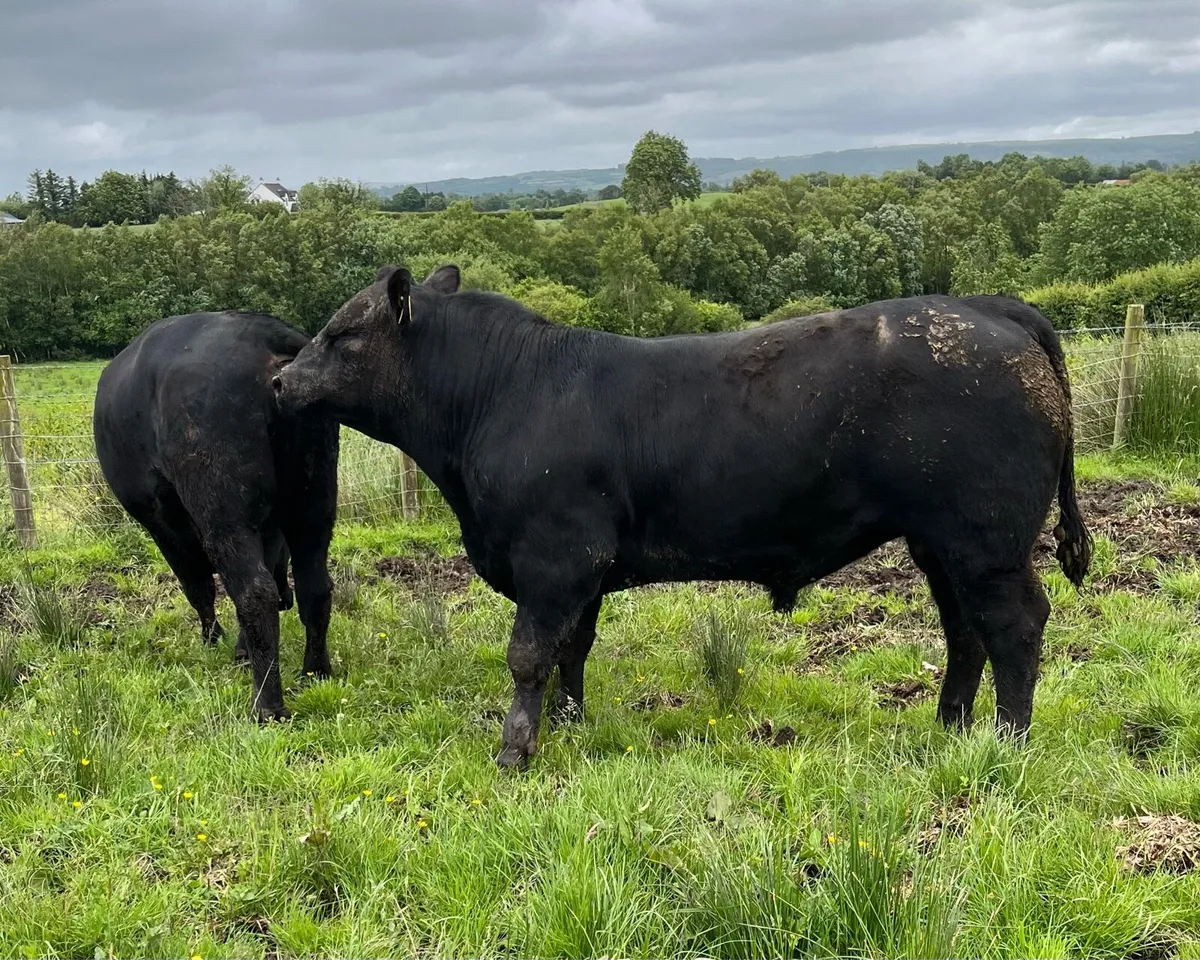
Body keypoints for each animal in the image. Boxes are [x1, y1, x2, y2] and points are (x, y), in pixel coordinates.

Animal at [93, 311, 339, 721]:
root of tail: (265, 336)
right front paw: (239, 647)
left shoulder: (162, 522)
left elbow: (197, 585)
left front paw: (213, 639)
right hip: (314, 501)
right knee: (314, 586)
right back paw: (315, 672)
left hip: (224, 513)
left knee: (254, 591)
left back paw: (267, 705)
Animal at [274, 264, 1092, 769]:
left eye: (342, 334)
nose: (279, 381)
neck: (508, 391)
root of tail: (989, 306)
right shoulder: (580, 572)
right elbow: (572, 650)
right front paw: (569, 725)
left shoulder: (555, 559)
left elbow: (530, 655)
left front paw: (515, 750)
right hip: (940, 543)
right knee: (965, 631)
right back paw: (951, 726)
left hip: (987, 542)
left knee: (1015, 628)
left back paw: (1007, 742)